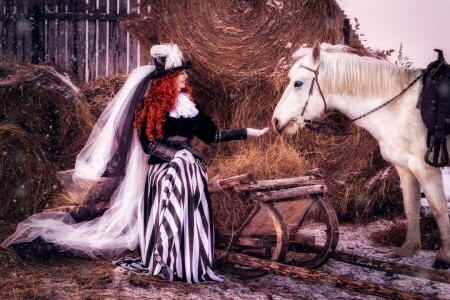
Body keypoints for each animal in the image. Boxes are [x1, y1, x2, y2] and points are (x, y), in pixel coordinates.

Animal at [270, 42, 450, 270]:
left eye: (298, 83)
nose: (276, 121)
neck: (400, 107)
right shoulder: (406, 167)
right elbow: (411, 206)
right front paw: (409, 248)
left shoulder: (425, 166)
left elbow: (438, 208)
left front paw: (444, 256)